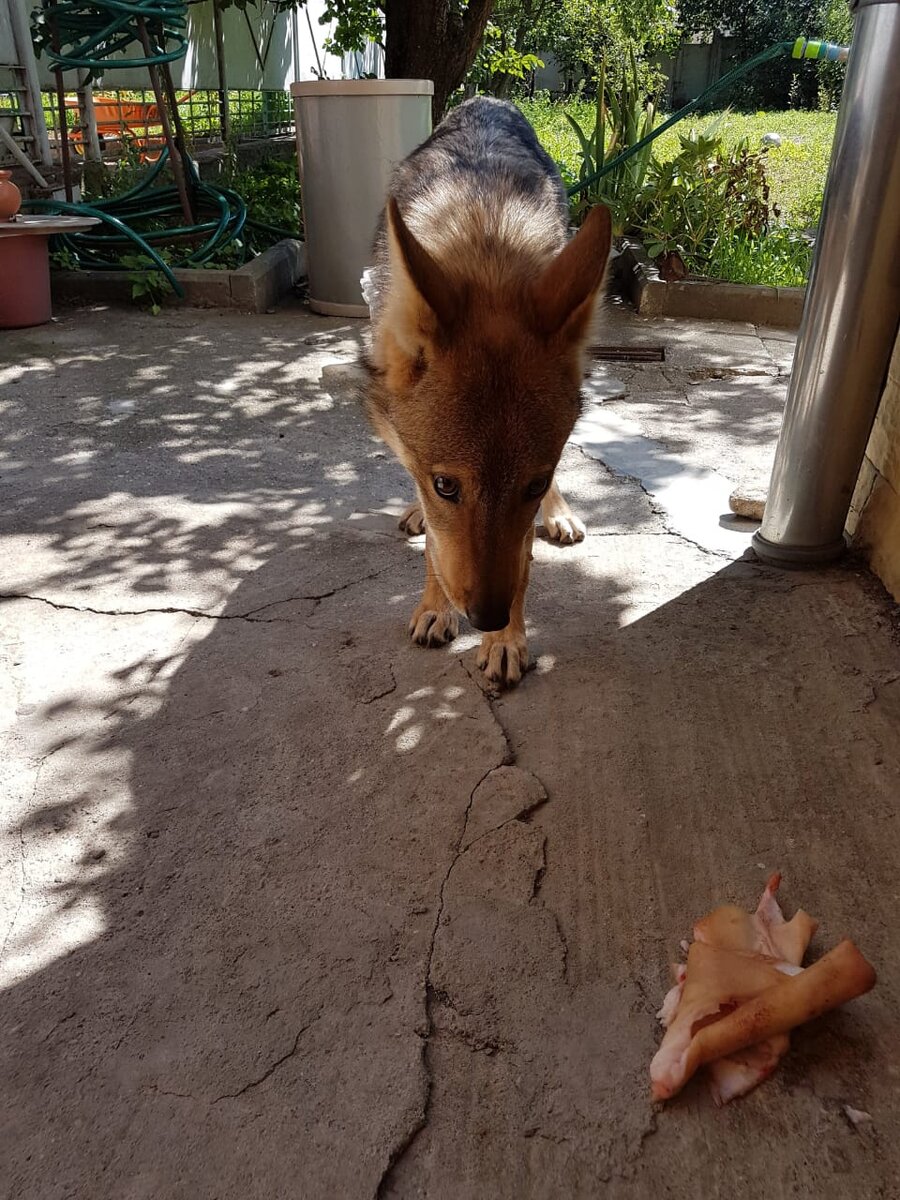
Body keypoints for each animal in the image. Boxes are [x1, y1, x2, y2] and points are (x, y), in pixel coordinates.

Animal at [367, 98, 614, 691]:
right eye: (445, 486)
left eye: (534, 484)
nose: (488, 618)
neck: (485, 243)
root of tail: (488, 101)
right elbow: (435, 543)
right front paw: (435, 608)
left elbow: (521, 561)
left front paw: (507, 641)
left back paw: (561, 516)